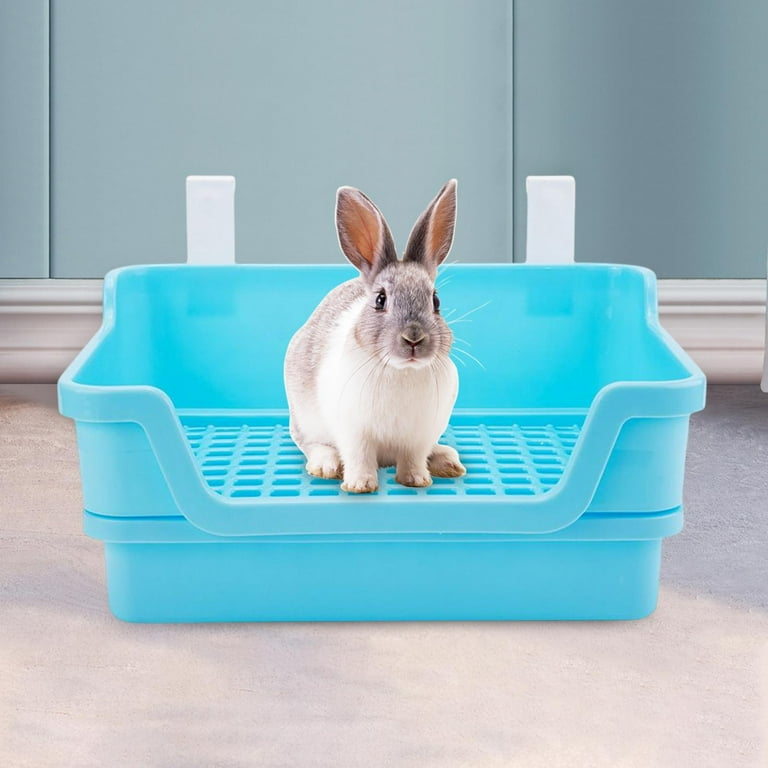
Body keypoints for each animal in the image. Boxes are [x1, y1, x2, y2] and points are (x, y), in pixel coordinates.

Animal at [283, 180, 466, 493]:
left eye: (436, 301)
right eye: (380, 300)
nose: (413, 339)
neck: (401, 371)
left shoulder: (418, 436)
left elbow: (413, 458)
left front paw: (417, 480)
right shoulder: (353, 432)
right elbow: (359, 457)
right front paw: (359, 486)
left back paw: (447, 461)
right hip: (305, 420)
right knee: (310, 444)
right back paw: (325, 465)